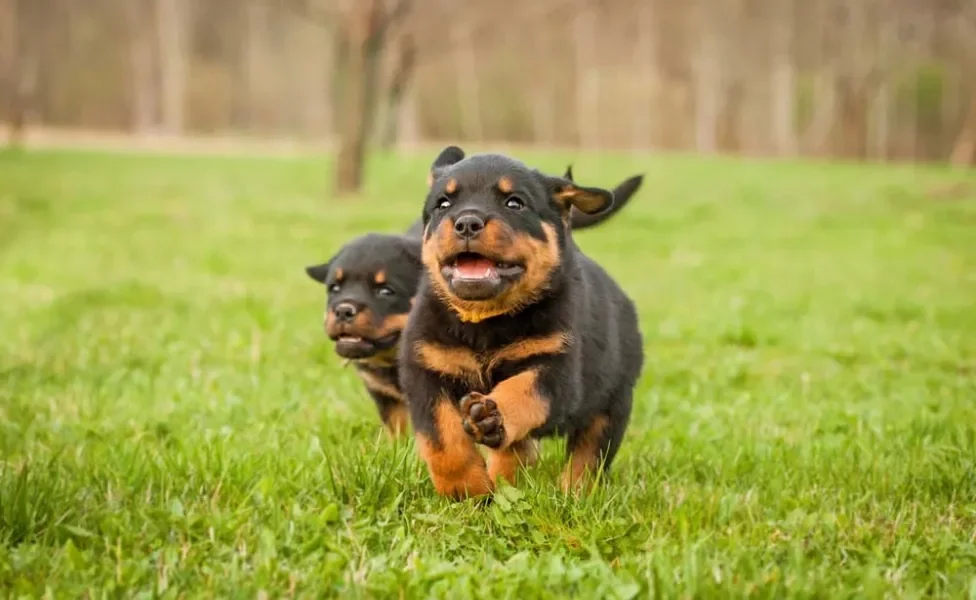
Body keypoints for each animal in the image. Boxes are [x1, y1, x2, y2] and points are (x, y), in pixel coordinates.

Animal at [400, 148, 644, 500]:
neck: (485, 321)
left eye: (514, 203)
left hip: (614, 400)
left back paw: (574, 495)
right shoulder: (426, 370)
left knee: (589, 455)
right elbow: (443, 442)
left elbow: (524, 391)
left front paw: (492, 416)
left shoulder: (557, 371)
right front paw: (468, 492)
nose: (467, 222)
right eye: (443, 204)